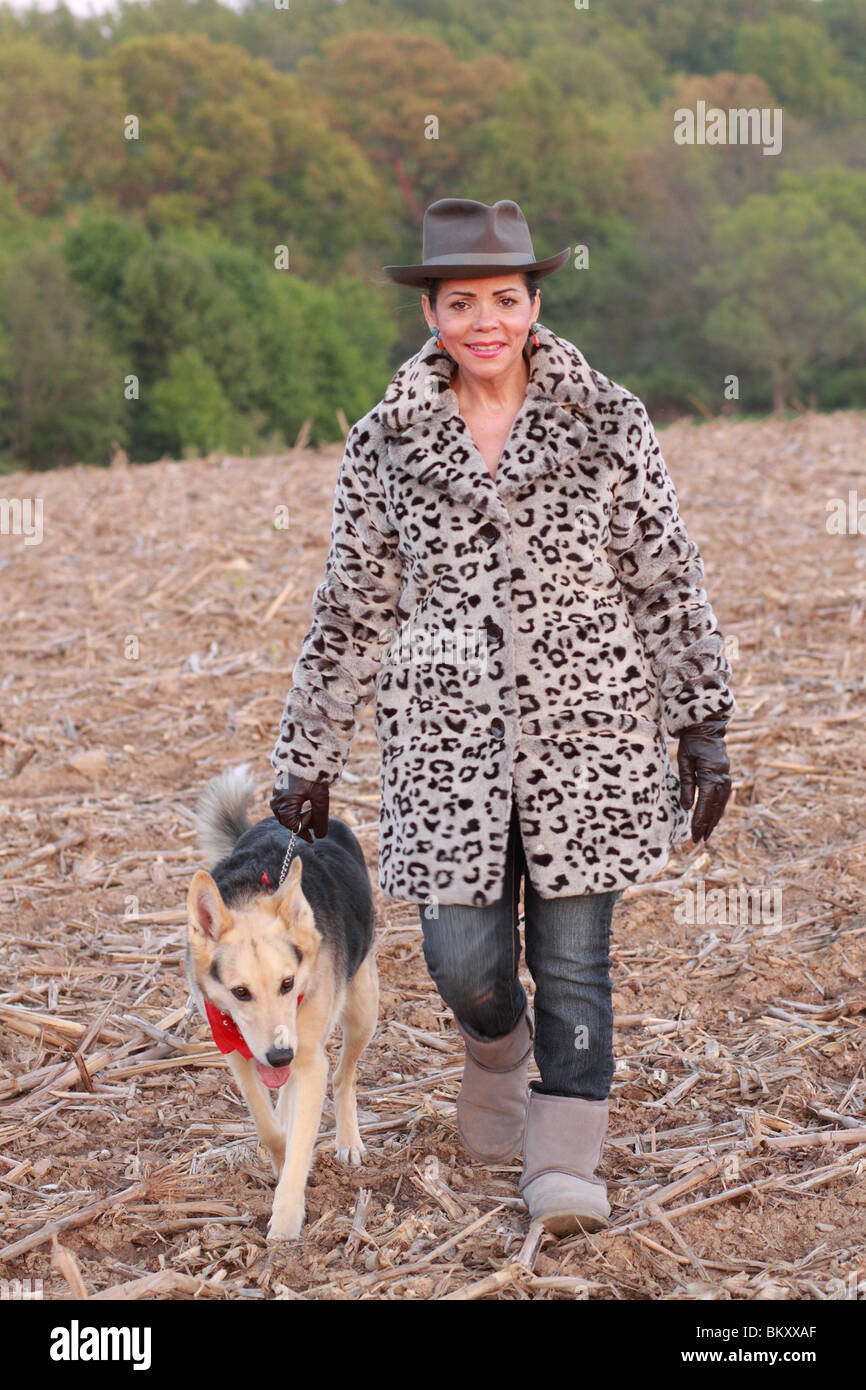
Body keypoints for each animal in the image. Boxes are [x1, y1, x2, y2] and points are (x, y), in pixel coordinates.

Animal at [184, 772, 378, 1239]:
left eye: (288, 984)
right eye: (240, 993)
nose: (278, 1055)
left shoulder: (307, 1060)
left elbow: (301, 1132)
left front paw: (287, 1223)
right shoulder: (237, 1050)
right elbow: (270, 1128)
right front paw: (279, 1154)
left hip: (363, 1011)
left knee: (343, 1077)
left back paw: (348, 1140)